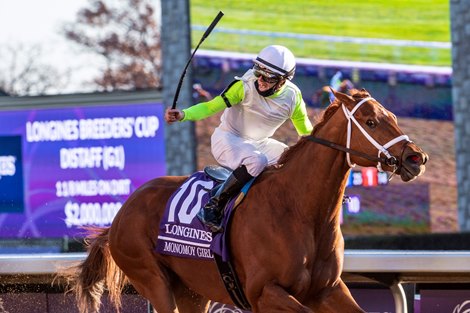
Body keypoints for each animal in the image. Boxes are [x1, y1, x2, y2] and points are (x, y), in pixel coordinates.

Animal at [64, 88, 428, 312]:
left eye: (392, 116)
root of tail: (120, 214)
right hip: (151, 279)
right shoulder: (264, 293)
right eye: (370, 122)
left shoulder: (327, 289)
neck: (300, 210)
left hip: (192, 290)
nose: (416, 158)